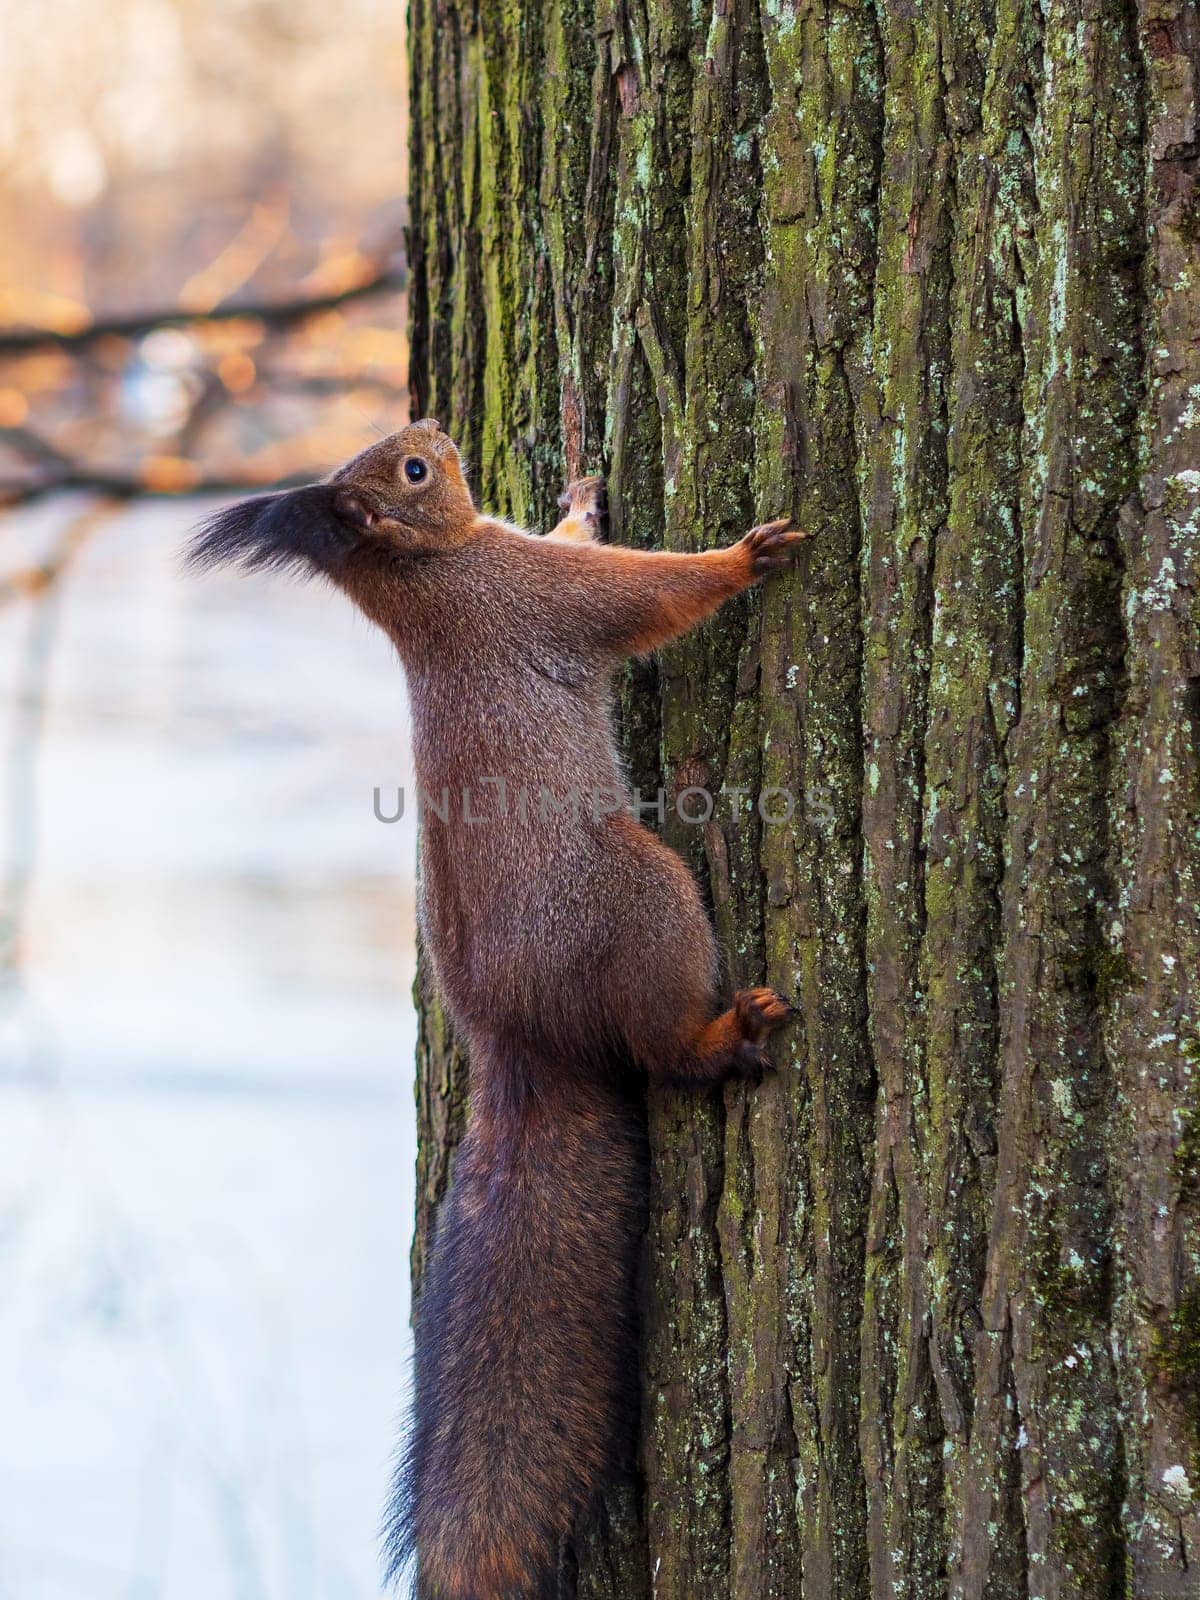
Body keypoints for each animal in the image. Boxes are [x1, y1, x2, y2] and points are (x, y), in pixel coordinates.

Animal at [190, 419, 809, 1593]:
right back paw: (724, 1035)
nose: (432, 430)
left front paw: (579, 496)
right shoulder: (533, 598)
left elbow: (575, 541)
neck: (427, 579)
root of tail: (514, 1037)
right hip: (644, 895)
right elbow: (643, 596)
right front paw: (744, 558)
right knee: (663, 1050)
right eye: (412, 473)